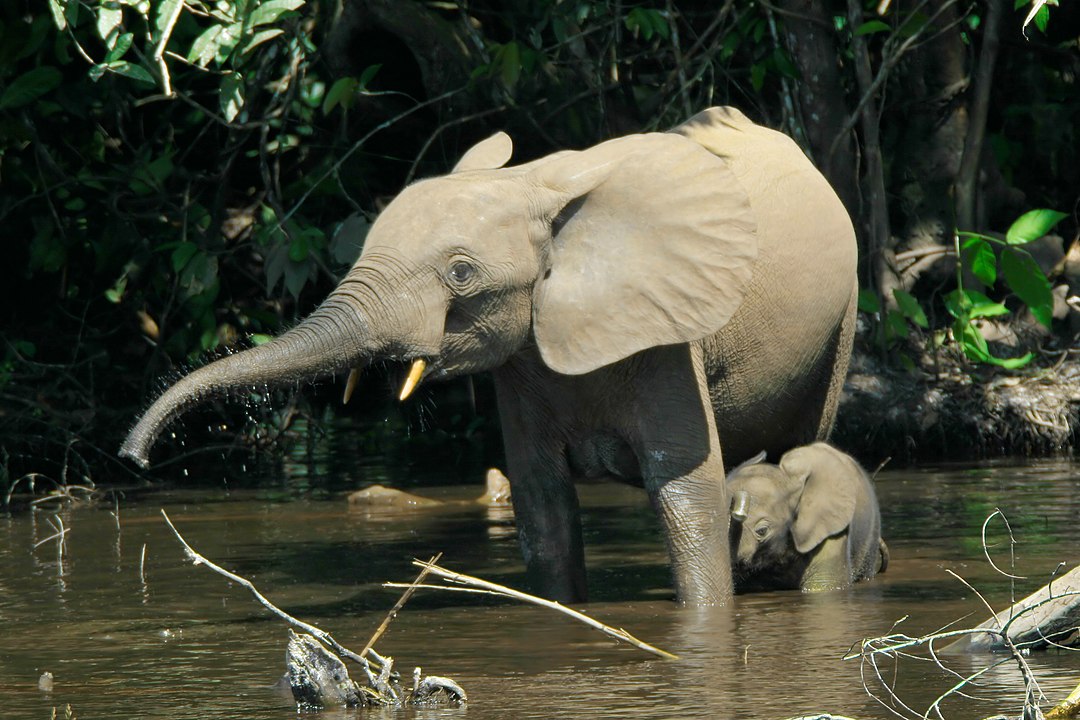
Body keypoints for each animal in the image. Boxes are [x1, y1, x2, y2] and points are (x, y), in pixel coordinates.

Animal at [120, 106, 858, 606]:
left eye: (461, 273)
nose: (134, 459)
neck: (535, 187)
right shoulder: (524, 361)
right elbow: (543, 508)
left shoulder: (667, 336)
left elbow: (686, 496)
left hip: (842, 320)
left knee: (802, 444)